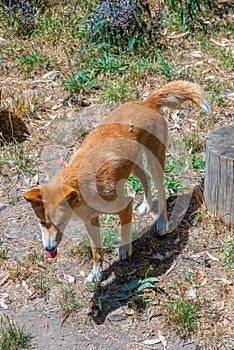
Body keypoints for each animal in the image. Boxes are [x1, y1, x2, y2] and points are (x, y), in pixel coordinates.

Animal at [23, 80, 208, 284]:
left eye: (61, 221)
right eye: (42, 222)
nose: (48, 249)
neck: (81, 186)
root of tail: (146, 103)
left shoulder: (124, 206)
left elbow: (124, 229)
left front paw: (125, 249)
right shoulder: (90, 220)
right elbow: (96, 251)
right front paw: (96, 274)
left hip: (155, 161)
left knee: (162, 190)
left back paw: (162, 223)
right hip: (131, 165)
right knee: (145, 178)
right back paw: (146, 205)